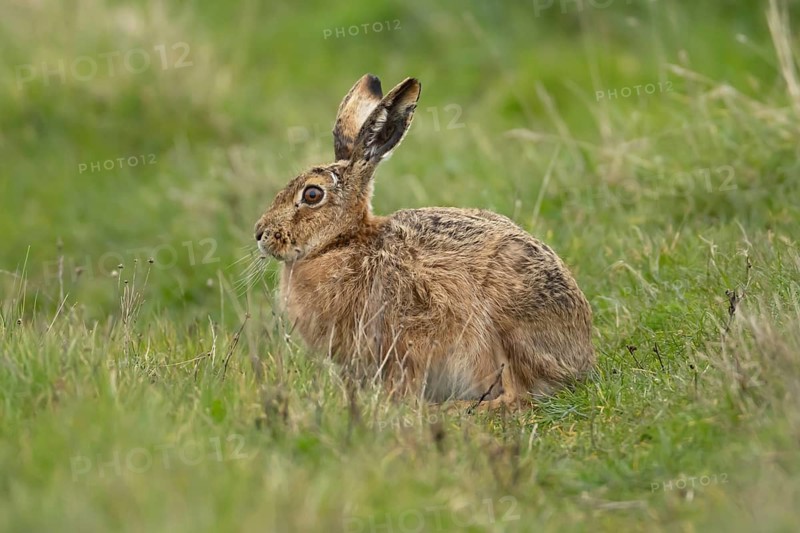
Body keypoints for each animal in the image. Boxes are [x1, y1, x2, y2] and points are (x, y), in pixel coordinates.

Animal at [254, 74, 595, 408]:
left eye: (312, 194)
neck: (343, 241)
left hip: (505, 329)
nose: (260, 233)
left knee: (516, 395)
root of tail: (580, 357)